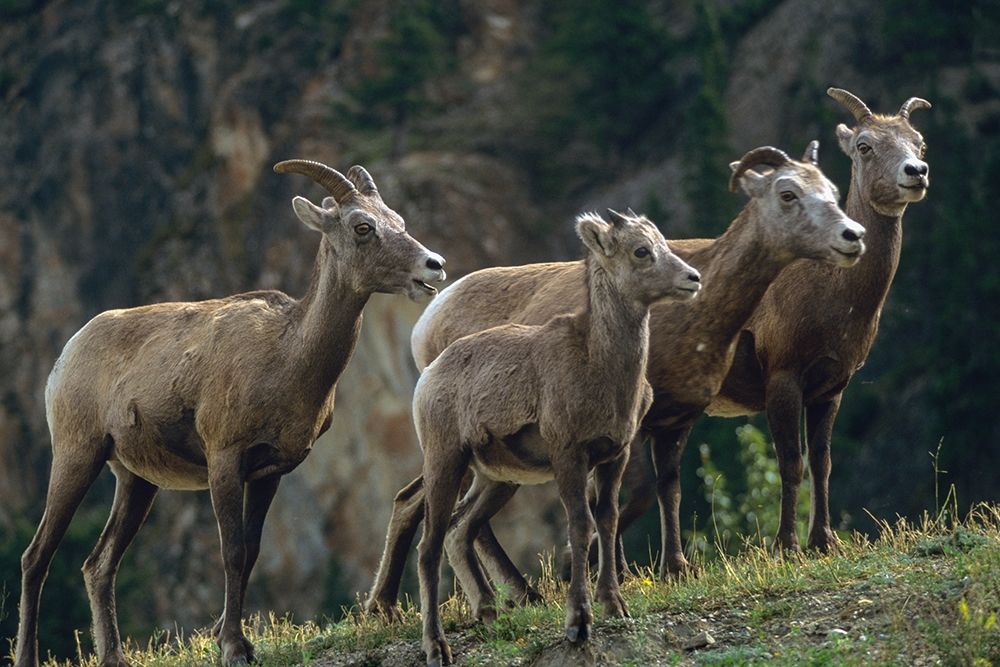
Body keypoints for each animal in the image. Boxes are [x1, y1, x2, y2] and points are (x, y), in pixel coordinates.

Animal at [14, 160, 446, 667]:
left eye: (397, 219)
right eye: (363, 227)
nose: (433, 265)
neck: (287, 355)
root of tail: (66, 356)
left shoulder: (269, 472)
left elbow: (253, 550)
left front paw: (231, 636)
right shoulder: (224, 460)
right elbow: (233, 552)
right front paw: (234, 647)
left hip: (136, 481)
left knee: (98, 564)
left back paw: (114, 657)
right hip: (77, 456)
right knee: (36, 556)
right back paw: (27, 656)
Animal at [365, 143, 866, 618]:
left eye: (831, 189)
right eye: (788, 193)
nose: (852, 236)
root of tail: (428, 319)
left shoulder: (673, 422)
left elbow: (665, 491)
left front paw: (672, 569)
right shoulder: (623, 433)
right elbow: (623, 499)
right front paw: (594, 572)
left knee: (440, 511)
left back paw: (501, 597)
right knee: (427, 506)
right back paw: (402, 603)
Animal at [413, 210, 701, 666]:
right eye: (641, 251)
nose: (693, 278)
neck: (599, 368)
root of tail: (428, 375)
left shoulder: (614, 456)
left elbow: (607, 521)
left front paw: (614, 606)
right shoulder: (569, 455)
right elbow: (580, 526)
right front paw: (578, 623)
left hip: (496, 479)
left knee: (461, 529)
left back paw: (489, 612)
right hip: (444, 463)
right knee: (428, 547)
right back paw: (437, 647)